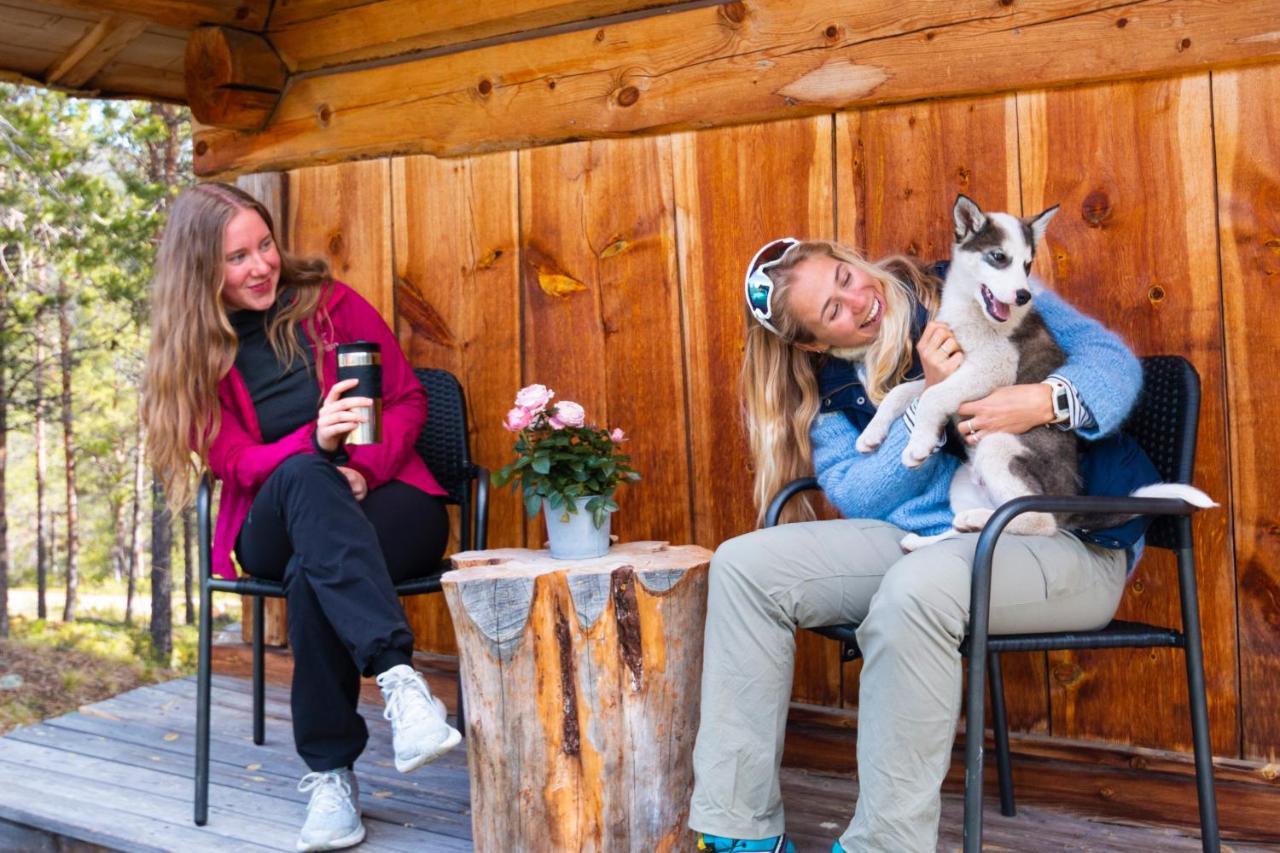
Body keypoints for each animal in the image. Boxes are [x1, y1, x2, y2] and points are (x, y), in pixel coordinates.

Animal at [855, 194, 1213, 548]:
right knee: (975, 528)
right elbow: (904, 392)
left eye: (1027, 265)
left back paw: (979, 520)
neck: (970, 309)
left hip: (1000, 446)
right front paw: (871, 435)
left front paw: (917, 446)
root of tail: (1070, 504)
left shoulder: (994, 365)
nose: (1023, 295)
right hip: (963, 481)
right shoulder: (949, 366)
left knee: (1039, 521)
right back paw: (934, 537)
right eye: (999, 257)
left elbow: (933, 397)